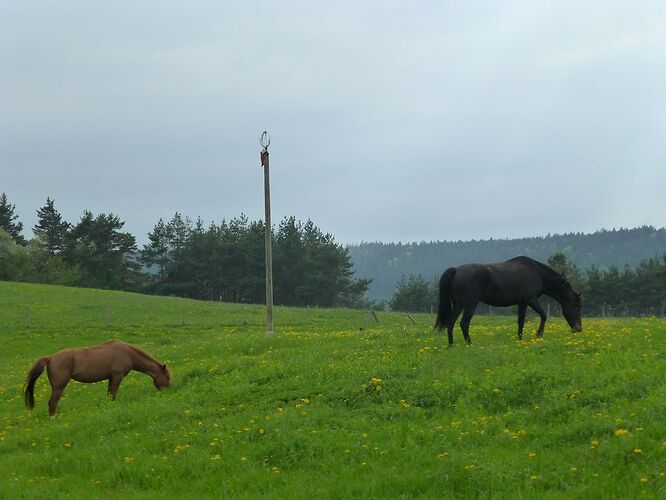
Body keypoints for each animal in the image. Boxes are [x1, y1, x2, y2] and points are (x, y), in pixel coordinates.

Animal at [25, 338, 171, 416]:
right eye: (168, 378)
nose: (168, 391)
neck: (127, 353)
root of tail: (50, 358)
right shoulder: (117, 377)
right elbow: (113, 394)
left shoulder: (111, 378)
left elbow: (109, 394)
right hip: (59, 386)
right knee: (52, 402)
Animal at [434, 256, 580, 346]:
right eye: (577, 307)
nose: (578, 329)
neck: (537, 273)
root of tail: (456, 270)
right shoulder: (531, 299)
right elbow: (544, 315)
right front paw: (538, 334)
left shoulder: (522, 302)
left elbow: (521, 321)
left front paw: (520, 339)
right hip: (470, 304)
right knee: (464, 323)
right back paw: (469, 343)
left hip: (458, 305)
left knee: (450, 323)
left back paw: (451, 345)